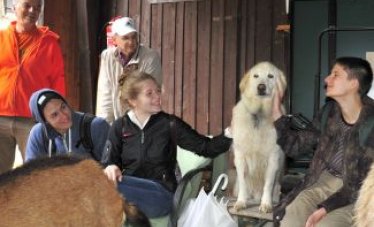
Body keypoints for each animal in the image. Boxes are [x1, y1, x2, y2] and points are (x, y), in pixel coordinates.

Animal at [231, 61, 286, 212]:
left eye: (270, 76)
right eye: (256, 76)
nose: (261, 87)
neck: (259, 115)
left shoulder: (273, 158)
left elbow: (268, 184)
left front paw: (266, 204)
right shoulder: (240, 157)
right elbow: (243, 183)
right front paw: (241, 202)